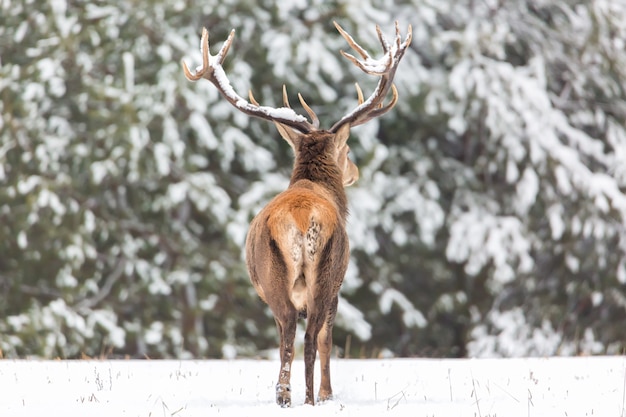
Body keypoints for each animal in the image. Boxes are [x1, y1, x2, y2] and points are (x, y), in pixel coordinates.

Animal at [182, 20, 410, 406]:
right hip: (325, 276)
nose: (354, 171)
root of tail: (303, 222)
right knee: (306, 336)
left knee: (290, 333)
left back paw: (286, 396)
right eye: (348, 149)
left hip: (282, 278)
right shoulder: (337, 289)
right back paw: (306, 398)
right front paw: (328, 394)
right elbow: (325, 340)